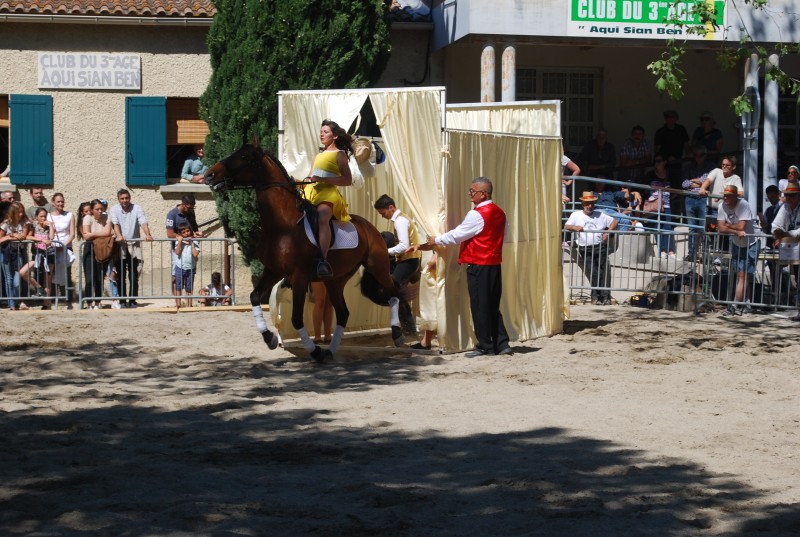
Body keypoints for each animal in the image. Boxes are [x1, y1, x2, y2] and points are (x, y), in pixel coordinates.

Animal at [206, 140, 406, 362]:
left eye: (243, 157)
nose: (209, 175)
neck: (282, 226)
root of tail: (369, 227)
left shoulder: (299, 276)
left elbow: (296, 318)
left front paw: (314, 351)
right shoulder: (273, 271)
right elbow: (254, 297)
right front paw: (270, 338)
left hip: (377, 266)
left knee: (395, 293)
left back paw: (398, 335)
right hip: (336, 280)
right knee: (343, 313)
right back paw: (331, 351)